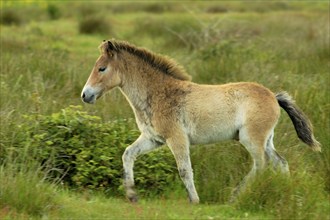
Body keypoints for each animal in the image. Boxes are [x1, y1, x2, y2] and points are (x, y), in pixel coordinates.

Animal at [81, 40, 320, 205]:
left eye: (102, 68)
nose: (85, 95)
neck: (159, 93)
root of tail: (273, 96)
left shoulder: (177, 139)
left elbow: (185, 169)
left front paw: (194, 200)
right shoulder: (153, 139)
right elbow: (128, 154)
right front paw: (132, 195)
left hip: (251, 139)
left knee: (261, 164)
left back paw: (235, 196)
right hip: (266, 140)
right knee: (280, 162)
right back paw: (288, 194)